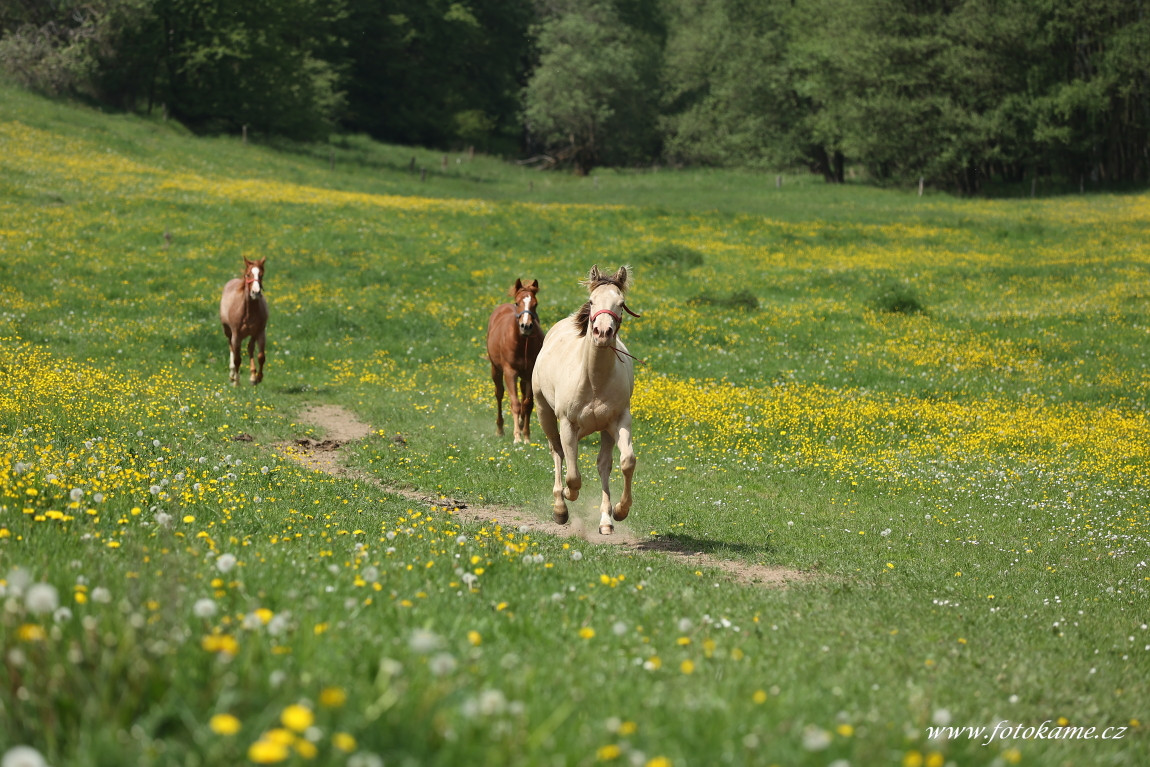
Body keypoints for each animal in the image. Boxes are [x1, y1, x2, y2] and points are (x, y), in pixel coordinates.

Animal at [218, 257, 267, 386]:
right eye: (248, 274)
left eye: (261, 275)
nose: (256, 292)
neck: (248, 312)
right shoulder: (236, 335)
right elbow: (237, 359)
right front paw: (236, 382)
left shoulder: (260, 332)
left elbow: (261, 356)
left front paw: (258, 378)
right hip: (228, 332)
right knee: (231, 348)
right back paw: (232, 376)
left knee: (250, 348)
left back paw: (252, 377)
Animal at [483, 279, 540, 441]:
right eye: (517, 302)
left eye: (535, 304)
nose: (526, 326)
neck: (522, 344)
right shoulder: (510, 373)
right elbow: (515, 403)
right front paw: (517, 437)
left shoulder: (530, 374)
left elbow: (527, 404)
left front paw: (526, 436)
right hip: (495, 369)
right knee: (499, 394)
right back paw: (500, 429)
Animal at [529, 266, 639, 538]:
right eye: (592, 301)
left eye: (621, 303)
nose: (602, 333)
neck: (594, 380)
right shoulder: (568, 425)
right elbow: (573, 475)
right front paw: (568, 496)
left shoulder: (619, 420)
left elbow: (626, 462)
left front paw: (620, 511)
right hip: (544, 414)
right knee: (557, 452)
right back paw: (560, 507)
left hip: (606, 431)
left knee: (603, 465)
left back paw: (606, 521)